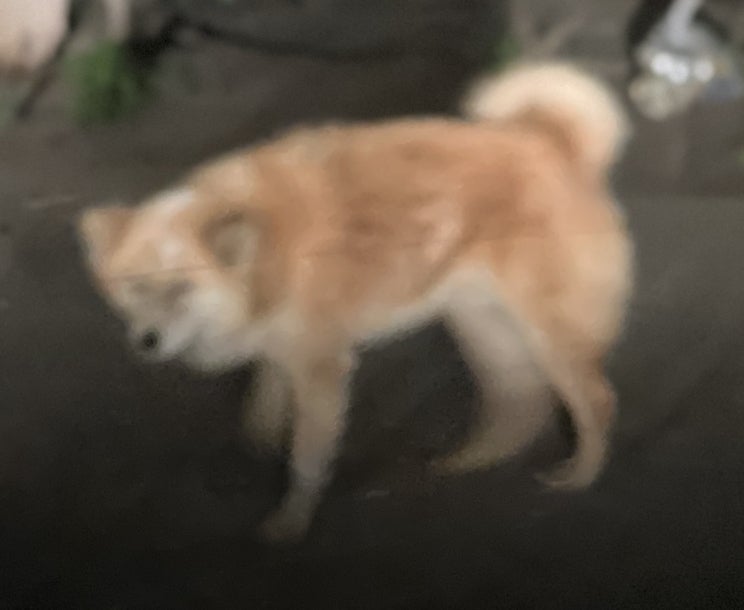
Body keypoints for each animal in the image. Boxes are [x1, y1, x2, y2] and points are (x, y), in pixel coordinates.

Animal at [78, 62, 633, 543]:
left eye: (181, 288)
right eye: (135, 285)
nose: (147, 342)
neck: (265, 250)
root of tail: (554, 142)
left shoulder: (322, 366)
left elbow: (307, 457)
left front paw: (290, 523)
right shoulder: (282, 345)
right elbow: (265, 395)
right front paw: (261, 436)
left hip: (550, 335)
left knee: (595, 401)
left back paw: (579, 477)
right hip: (481, 325)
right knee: (521, 399)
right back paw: (470, 462)